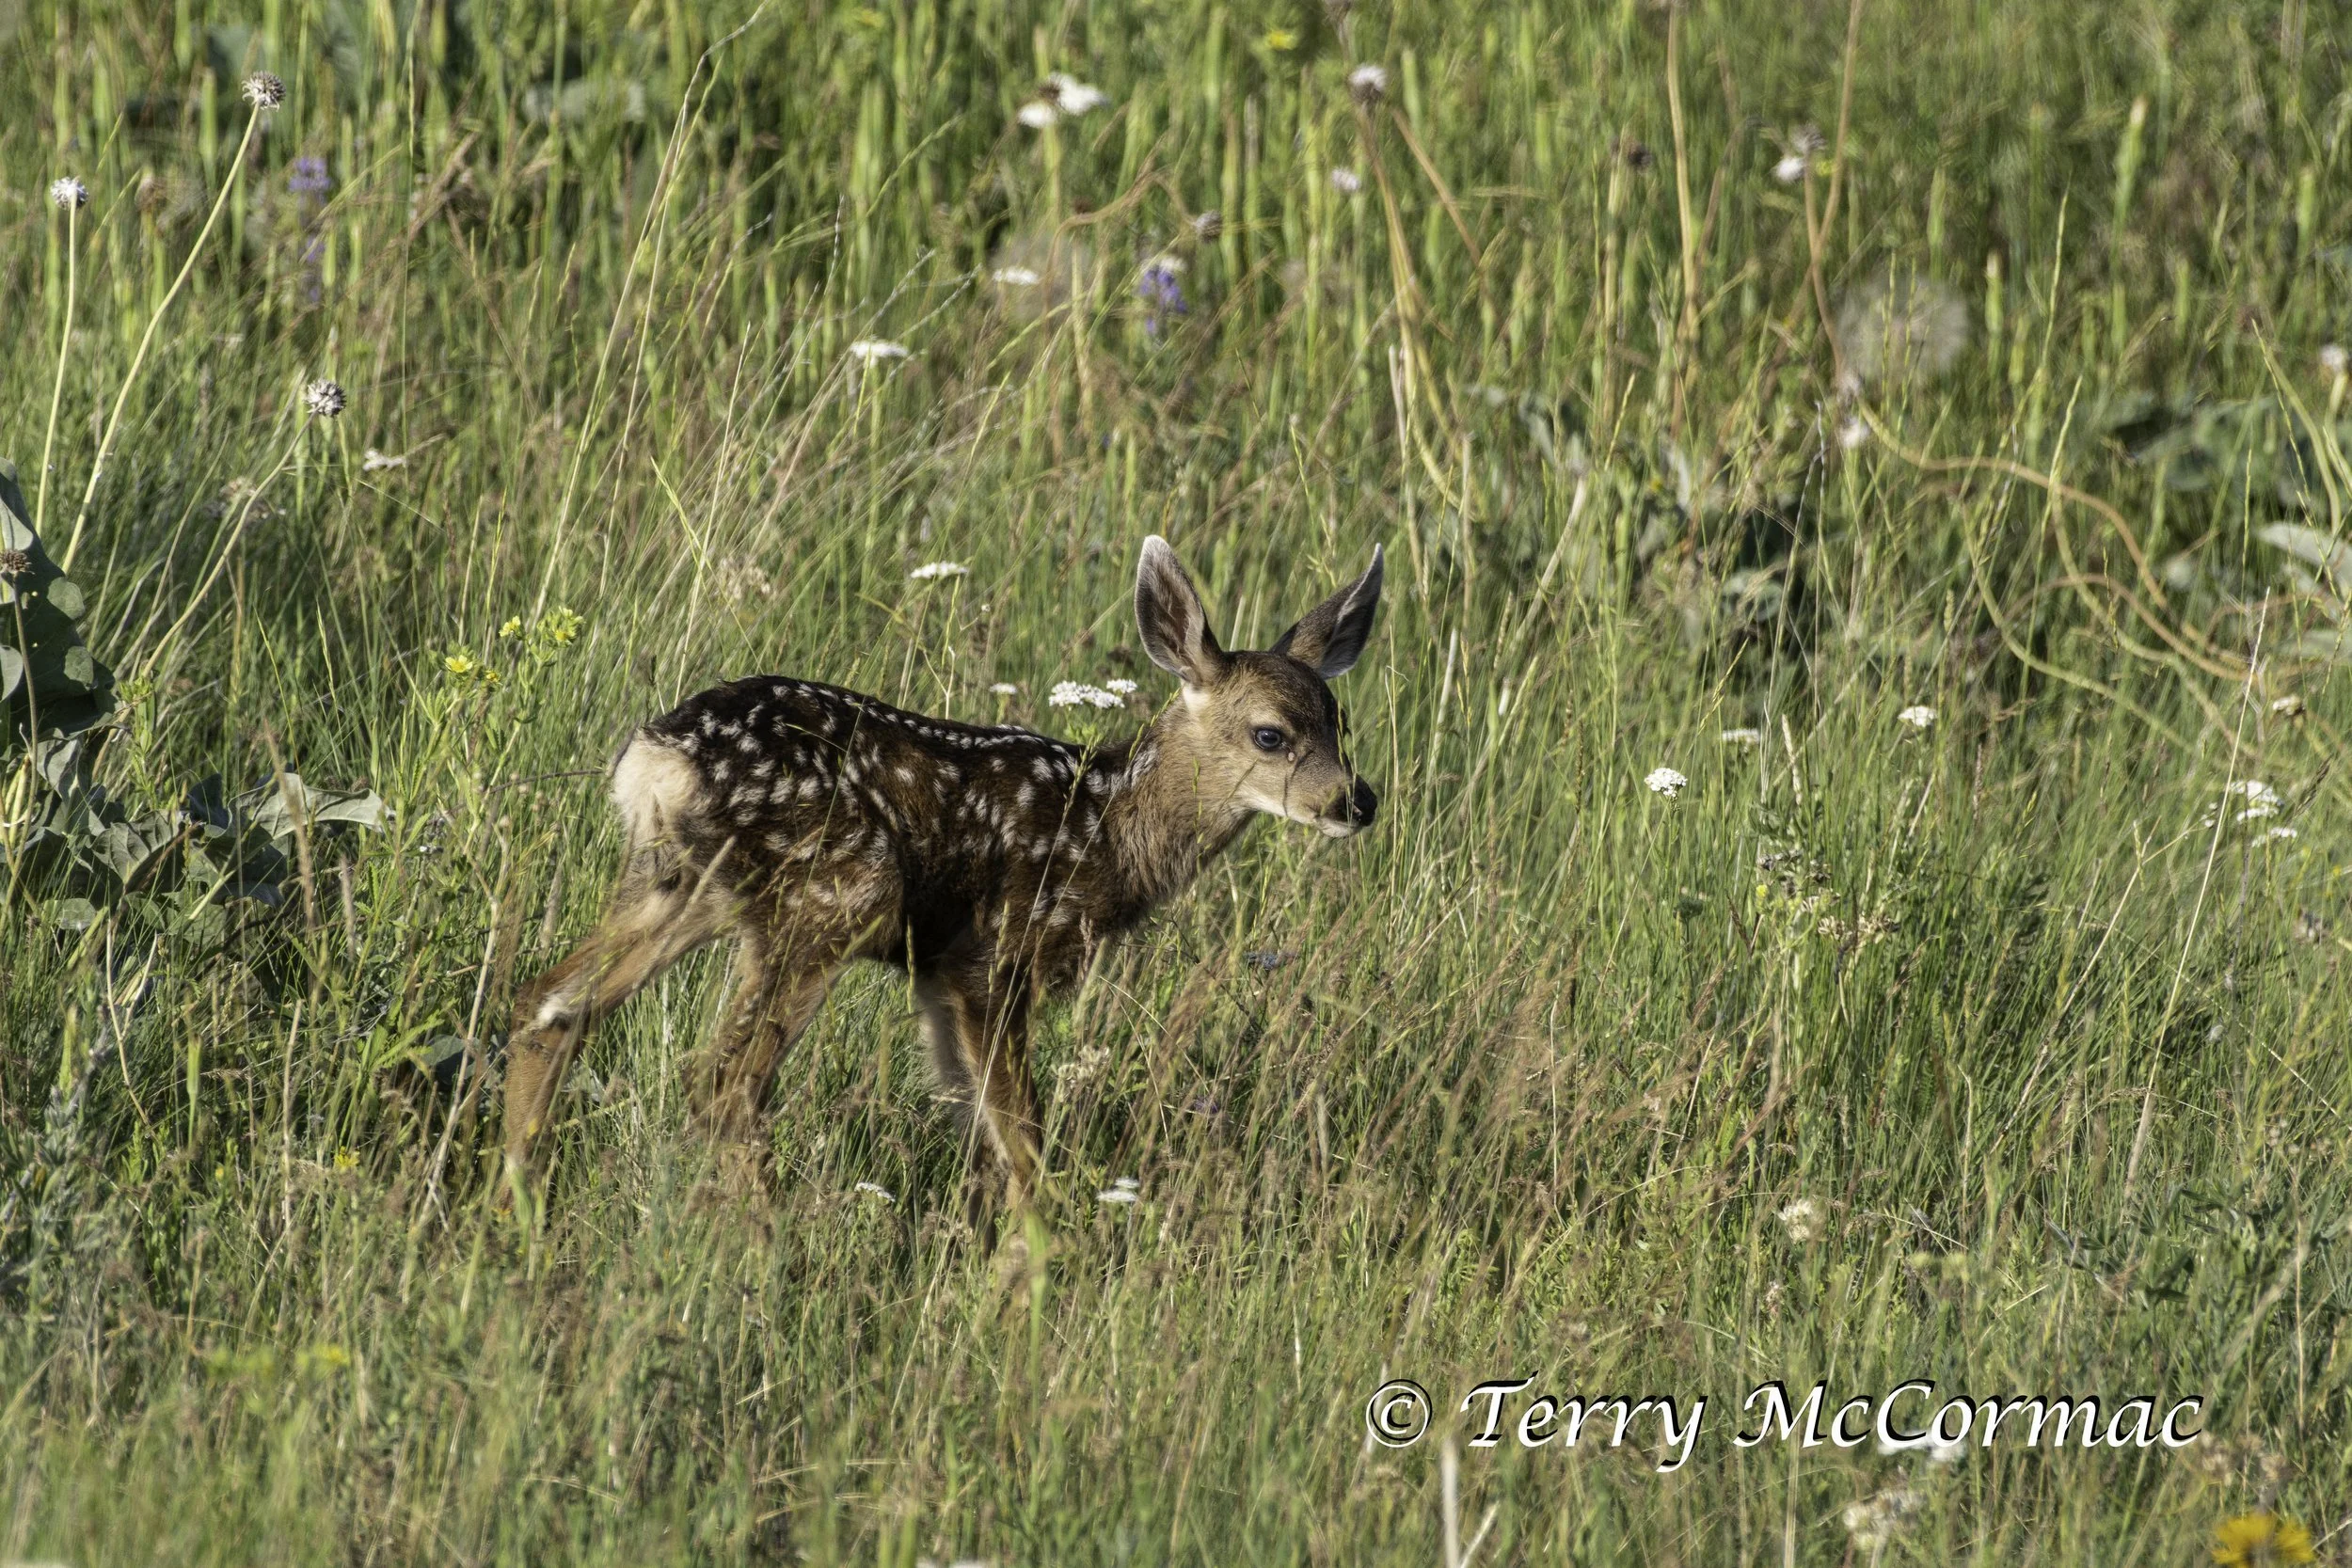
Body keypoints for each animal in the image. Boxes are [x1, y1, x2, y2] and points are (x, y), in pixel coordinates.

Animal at [501, 535, 1383, 1228]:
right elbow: (1025, 1150)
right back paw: (767, 1251)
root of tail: (657, 756)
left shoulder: (936, 974)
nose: (1355, 800)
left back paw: (519, 1217)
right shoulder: (997, 954)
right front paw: (1031, 1285)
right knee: (722, 1078)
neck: (1106, 828)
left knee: (550, 1003)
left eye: (1339, 722)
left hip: (679, 883)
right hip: (839, 890)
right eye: (1270, 734)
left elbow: (983, 1139)